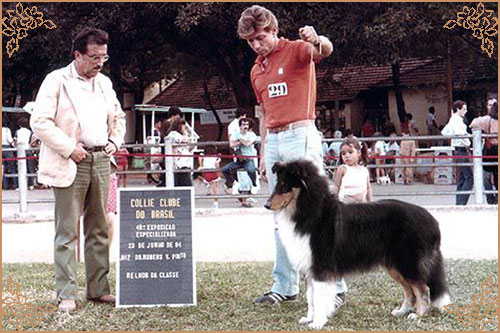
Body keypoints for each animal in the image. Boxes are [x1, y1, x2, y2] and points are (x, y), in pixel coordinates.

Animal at [268, 160, 452, 328]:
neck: (310, 211)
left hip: (407, 263)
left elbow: (319, 298)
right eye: (278, 183)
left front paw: (317, 323)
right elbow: (311, 298)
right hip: (395, 266)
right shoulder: (310, 269)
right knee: (409, 290)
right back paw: (402, 311)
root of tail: (432, 221)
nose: (266, 204)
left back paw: (418, 315)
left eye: (284, 185)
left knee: (423, 289)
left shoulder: (321, 267)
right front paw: (309, 319)